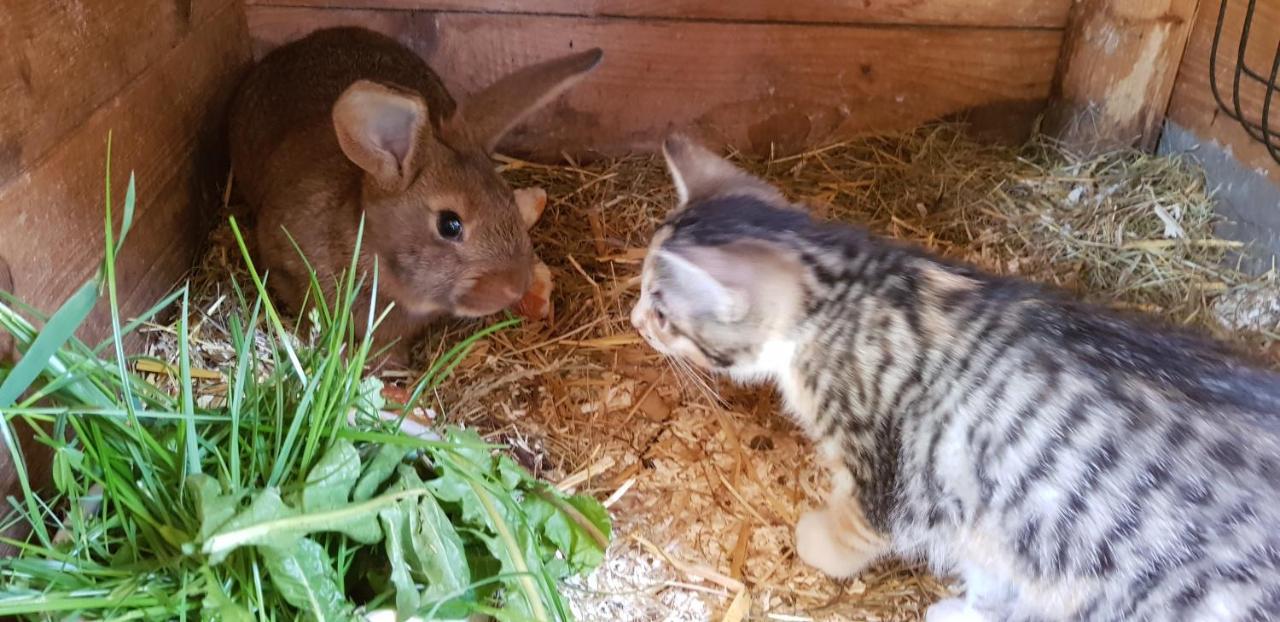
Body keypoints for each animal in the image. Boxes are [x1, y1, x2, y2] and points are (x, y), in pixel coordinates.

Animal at [632, 136, 1280, 622]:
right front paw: (974, 605)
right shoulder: (985, 506)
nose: (636, 321)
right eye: (642, 294)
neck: (842, 291)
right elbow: (993, 568)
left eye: (661, 311)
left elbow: (857, 528)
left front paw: (816, 540)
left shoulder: (893, 470)